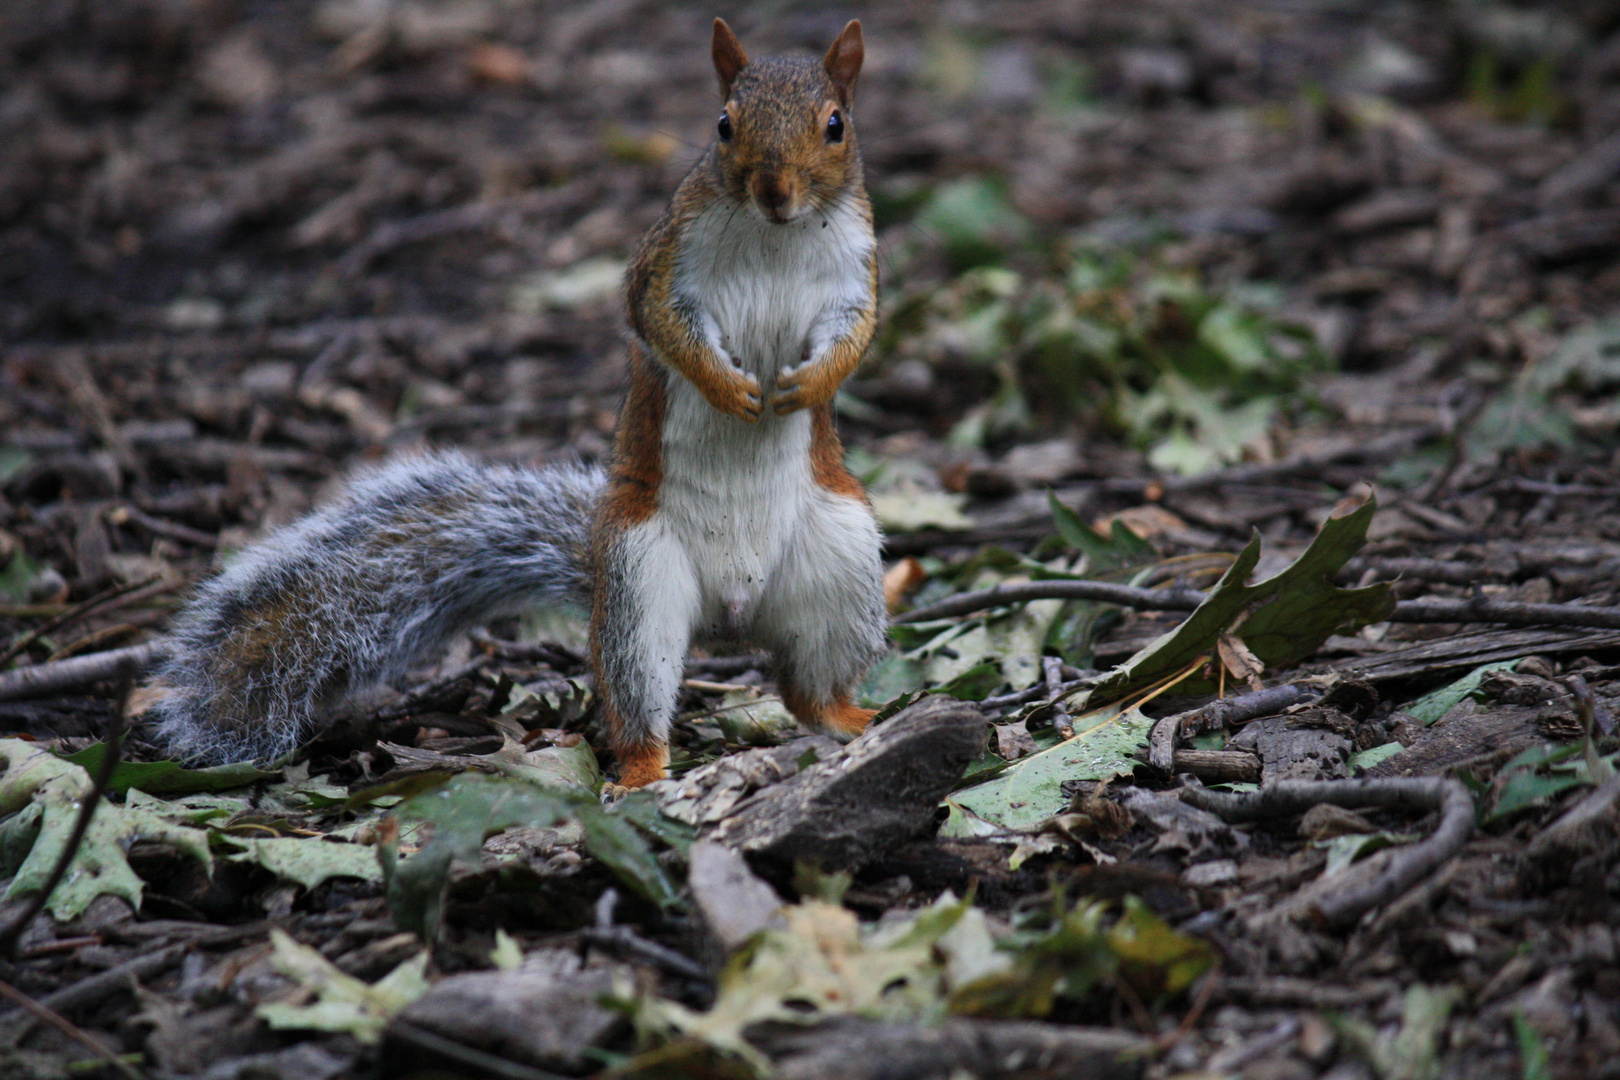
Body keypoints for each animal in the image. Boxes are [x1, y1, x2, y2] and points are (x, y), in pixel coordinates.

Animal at [152, 19, 887, 793]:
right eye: (723, 124)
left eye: (836, 126)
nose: (774, 190)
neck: (776, 235)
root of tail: (731, 616)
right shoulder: (663, 265)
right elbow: (661, 325)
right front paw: (726, 386)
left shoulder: (856, 276)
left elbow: (857, 335)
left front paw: (809, 385)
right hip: (639, 586)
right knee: (639, 698)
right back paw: (641, 773)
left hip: (843, 565)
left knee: (808, 688)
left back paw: (853, 717)